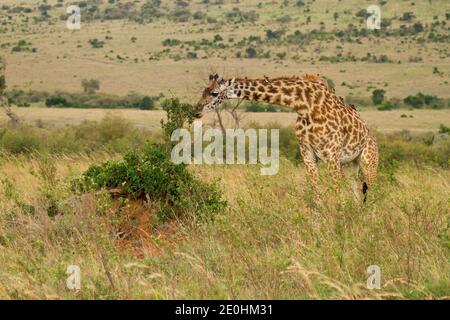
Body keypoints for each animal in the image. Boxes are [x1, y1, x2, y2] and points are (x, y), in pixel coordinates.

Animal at [194, 74, 380, 201]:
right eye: (203, 91)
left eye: (214, 93)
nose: (196, 109)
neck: (304, 105)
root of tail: (371, 136)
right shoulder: (308, 154)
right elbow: (317, 194)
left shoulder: (331, 155)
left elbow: (338, 192)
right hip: (351, 164)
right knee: (356, 191)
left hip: (368, 160)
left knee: (370, 190)